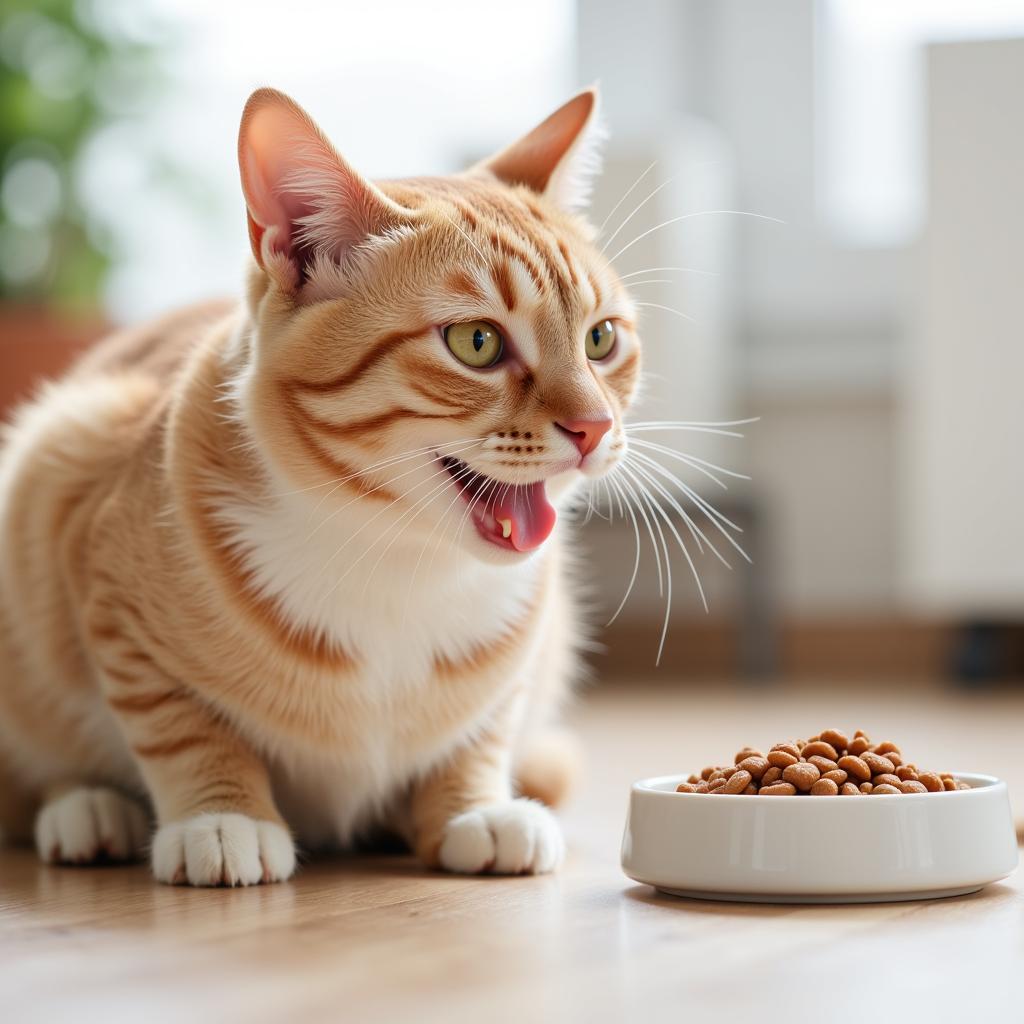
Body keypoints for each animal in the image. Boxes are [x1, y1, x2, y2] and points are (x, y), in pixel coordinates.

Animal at [0, 83, 638, 884]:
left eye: (600, 339)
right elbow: (180, 725)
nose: (593, 427)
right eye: (477, 343)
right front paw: (222, 816)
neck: (400, 560)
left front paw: (472, 808)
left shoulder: (525, 657)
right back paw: (86, 809)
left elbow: (482, 727)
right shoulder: (94, 555)